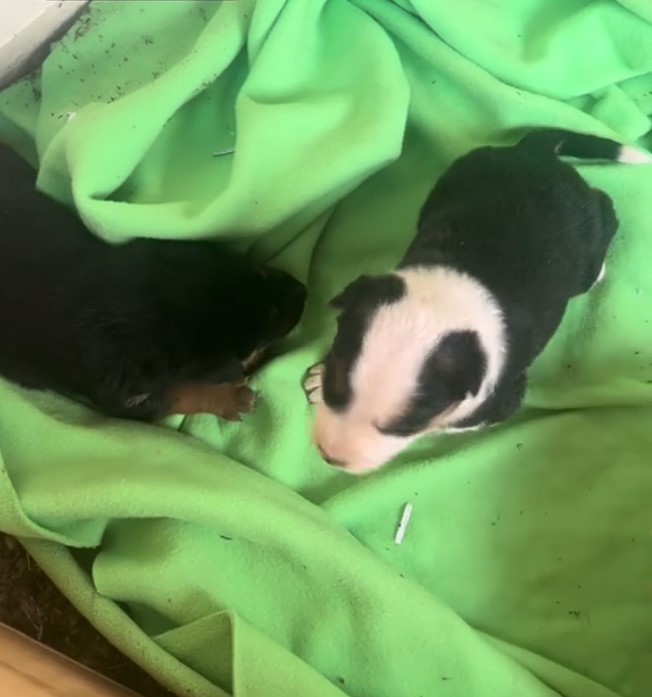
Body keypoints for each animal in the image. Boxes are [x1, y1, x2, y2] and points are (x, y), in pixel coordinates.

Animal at [0, 143, 306, 418]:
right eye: (271, 320)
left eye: (261, 272)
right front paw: (233, 397)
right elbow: (179, 395)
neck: (148, 308)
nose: (304, 290)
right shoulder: (123, 394)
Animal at [304, 126, 648, 474]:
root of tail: (536, 153)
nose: (331, 457)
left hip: (589, 233)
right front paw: (317, 380)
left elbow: (459, 421)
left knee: (603, 212)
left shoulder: (503, 397)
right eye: (336, 385)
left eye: (405, 426)